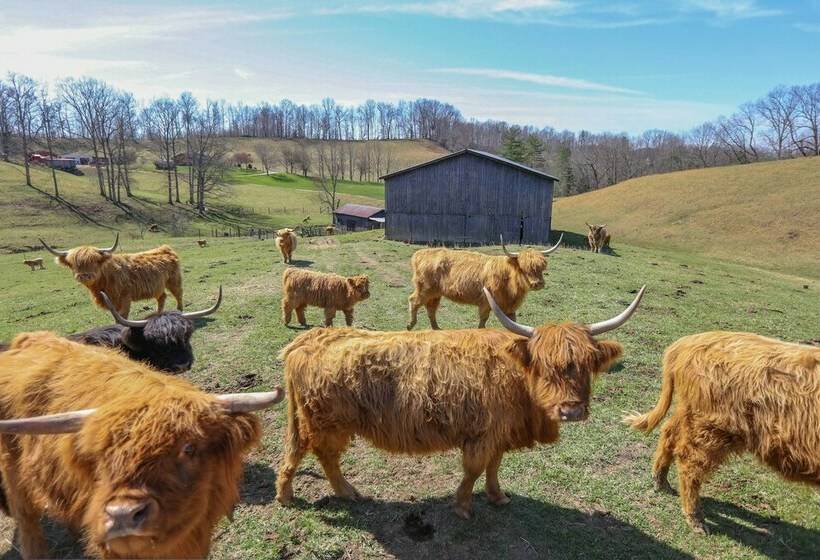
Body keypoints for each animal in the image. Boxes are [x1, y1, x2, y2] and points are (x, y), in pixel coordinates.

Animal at [40, 234, 183, 318]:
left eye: (94, 261)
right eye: (72, 264)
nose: (84, 276)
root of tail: (165, 248)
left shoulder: (125, 298)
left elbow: (123, 318)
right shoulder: (111, 303)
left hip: (174, 281)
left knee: (178, 295)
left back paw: (180, 311)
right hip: (158, 286)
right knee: (162, 297)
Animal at [276, 285, 645, 518]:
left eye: (587, 365)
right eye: (543, 365)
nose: (571, 410)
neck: (517, 379)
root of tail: (307, 339)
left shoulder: (499, 435)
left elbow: (494, 467)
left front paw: (498, 497)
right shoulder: (481, 435)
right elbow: (474, 470)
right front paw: (464, 507)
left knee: (318, 455)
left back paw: (335, 492)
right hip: (323, 422)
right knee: (311, 454)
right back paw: (295, 495)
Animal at [407, 233, 563, 330]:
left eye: (542, 267)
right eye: (523, 268)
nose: (538, 283)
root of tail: (420, 253)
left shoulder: (510, 307)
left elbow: (512, 323)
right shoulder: (486, 302)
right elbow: (483, 320)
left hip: (435, 293)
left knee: (431, 308)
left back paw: (437, 329)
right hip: (424, 289)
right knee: (414, 301)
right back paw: (410, 325)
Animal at [625, 331, 820, 534]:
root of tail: (688, 341)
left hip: (690, 411)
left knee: (668, 432)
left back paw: (661, 483)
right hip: (711, 429)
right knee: (689, 461)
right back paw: (697, 521)